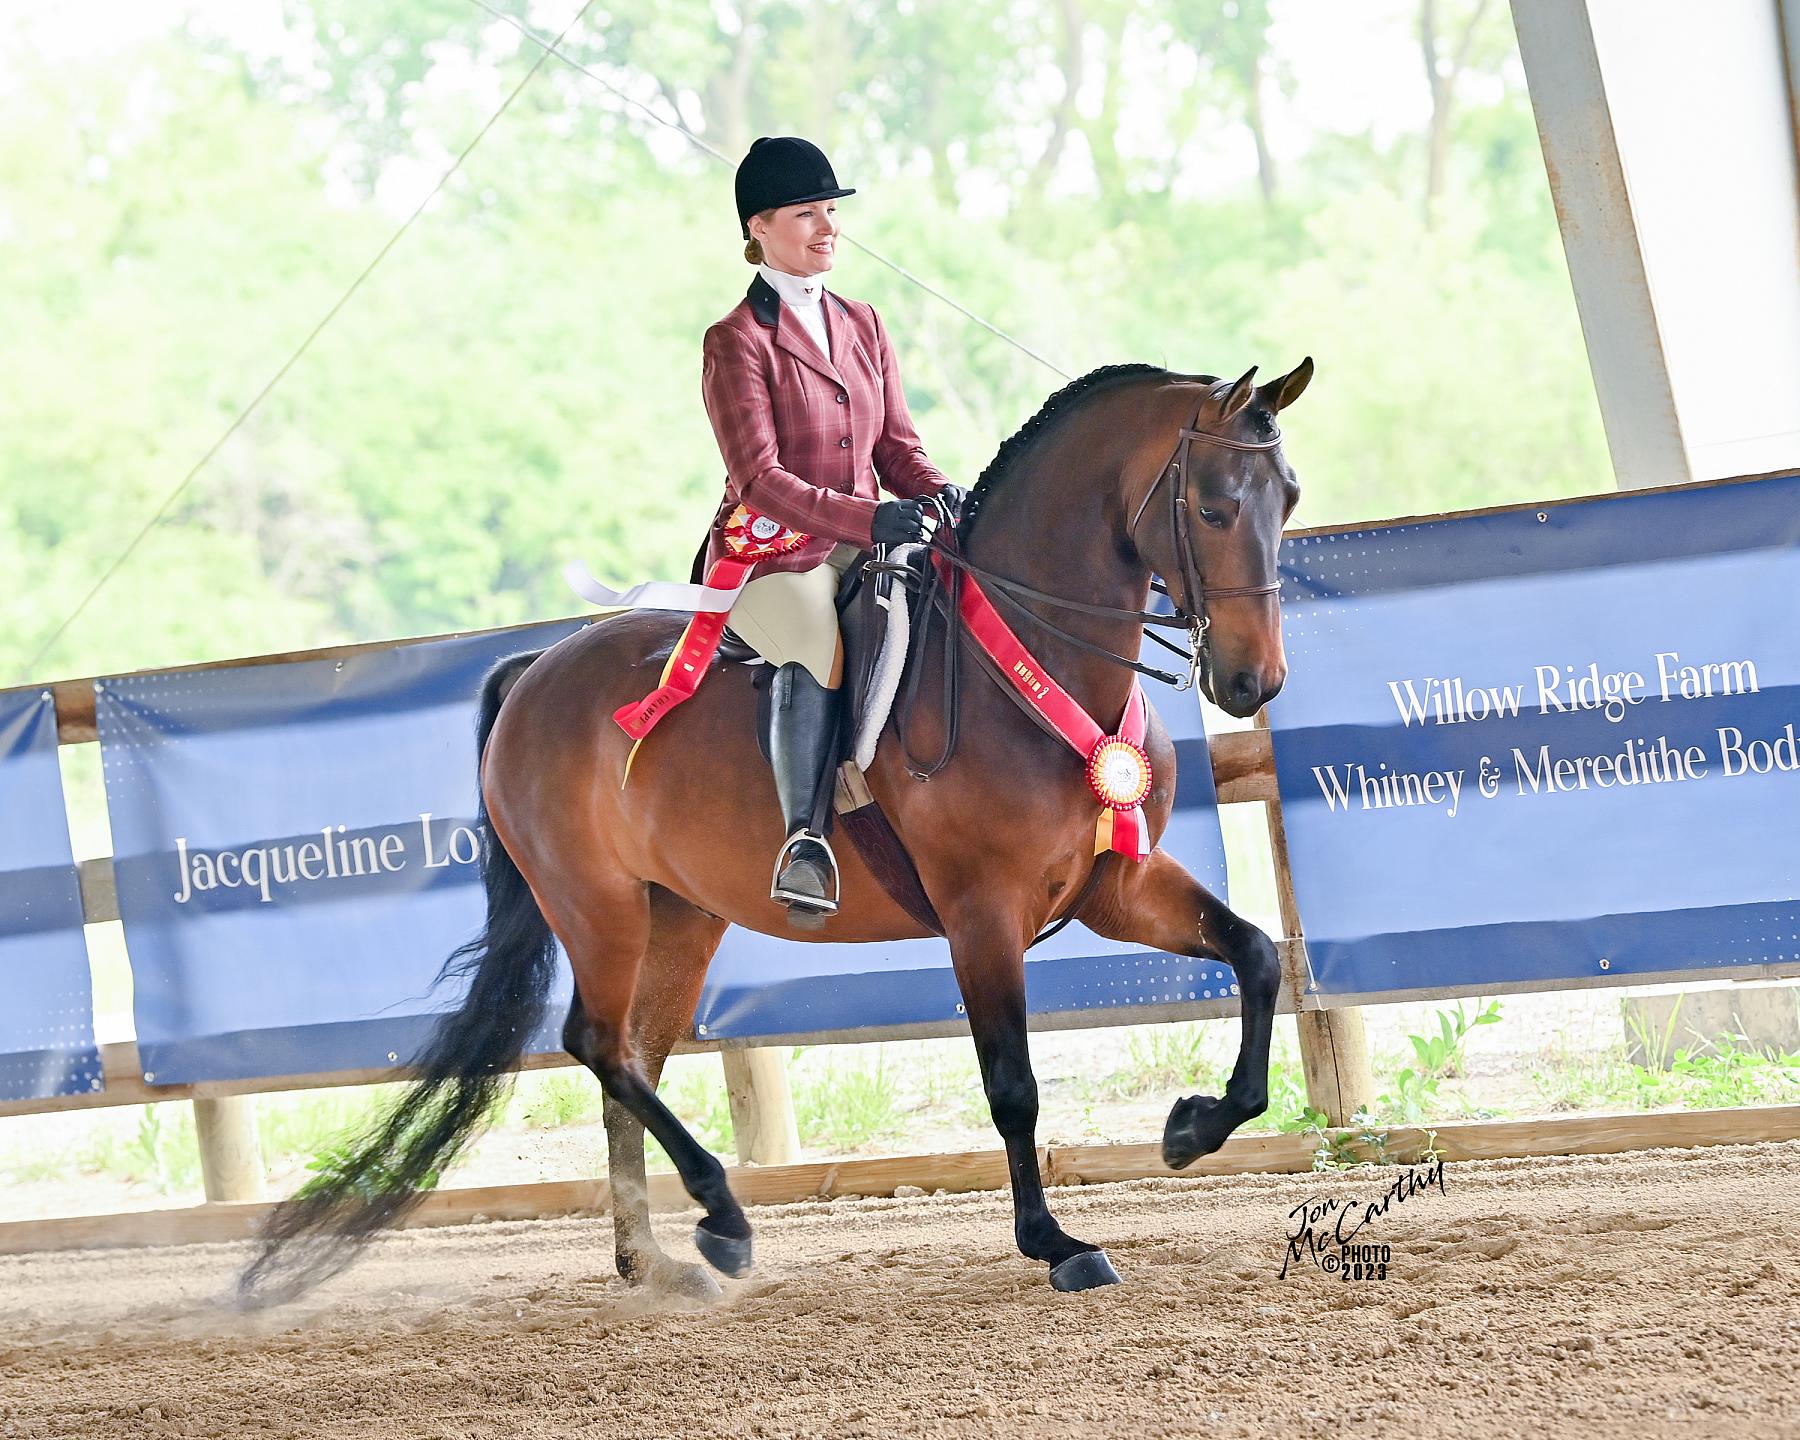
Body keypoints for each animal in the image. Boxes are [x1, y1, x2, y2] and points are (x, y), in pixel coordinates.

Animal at [239, 356, 1310, 1303]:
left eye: (1289, 497)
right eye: (1215, 505)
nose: (1252, 683)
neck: (1026, 658)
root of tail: (534, 670)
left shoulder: (1111, 886)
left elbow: (1256, 954)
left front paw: (1193, 1127)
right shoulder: (981, 912)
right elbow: (1012, 1082)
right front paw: (1055, 1242)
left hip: (680, 919)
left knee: (632, 1060)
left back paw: (655, 1262)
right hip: (597, 906)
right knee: (599, 1044)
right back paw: (719, 1217)